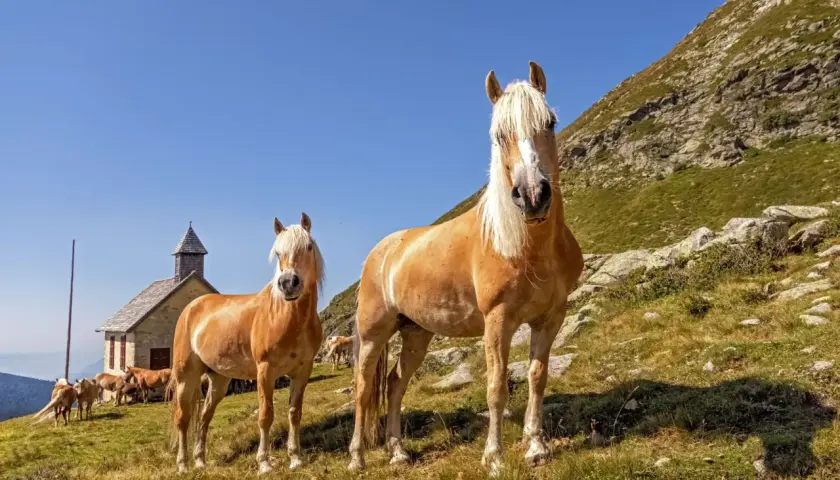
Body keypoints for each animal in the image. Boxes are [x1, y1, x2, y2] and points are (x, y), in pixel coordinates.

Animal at [168, 213, 325, 474]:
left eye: (308, 247)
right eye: (278, 253)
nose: (288, 283)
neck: (286, 318)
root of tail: (191, 307)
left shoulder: (302, 371)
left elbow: (295, 413)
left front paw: (295, 458)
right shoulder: (265, 372)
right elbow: (265, 415)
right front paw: (264, 462)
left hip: (218, 379)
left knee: (204, 416)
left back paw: (200, 461)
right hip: (185, 377)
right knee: (183, 418)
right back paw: (183, 465)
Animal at [348, 61, 584, 476]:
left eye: (550, 121)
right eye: (498, 134)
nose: (533, 196)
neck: (527, 250)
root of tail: (379, 253)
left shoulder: (551, 317)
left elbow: (537, 378)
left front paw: (536, 447)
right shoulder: (497, 321)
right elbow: (496, 387)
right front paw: (495, 457)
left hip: (416, 334)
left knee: (394, 384)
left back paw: (398, 452)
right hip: (374, 335)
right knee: (363, 391)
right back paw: (357, 458)